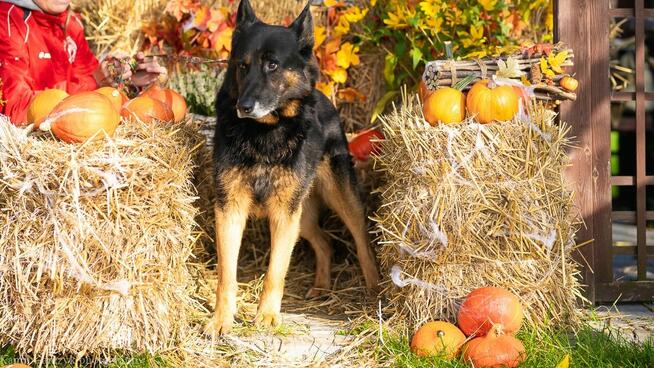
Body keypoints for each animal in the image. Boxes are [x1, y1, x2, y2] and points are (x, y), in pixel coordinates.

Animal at [208, 0, 382, 334]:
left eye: (272, 65)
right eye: (242, 66)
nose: (243, 107)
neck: (264, 133)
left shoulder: (282, 213)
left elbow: (275, 271)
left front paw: (266, 316)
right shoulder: (229, 208)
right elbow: (226, 274)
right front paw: (222, 320)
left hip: (336, 201)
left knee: (362, 240)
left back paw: (374, 288)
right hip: (300, 216)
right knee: (326, 243)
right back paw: (322, 286)